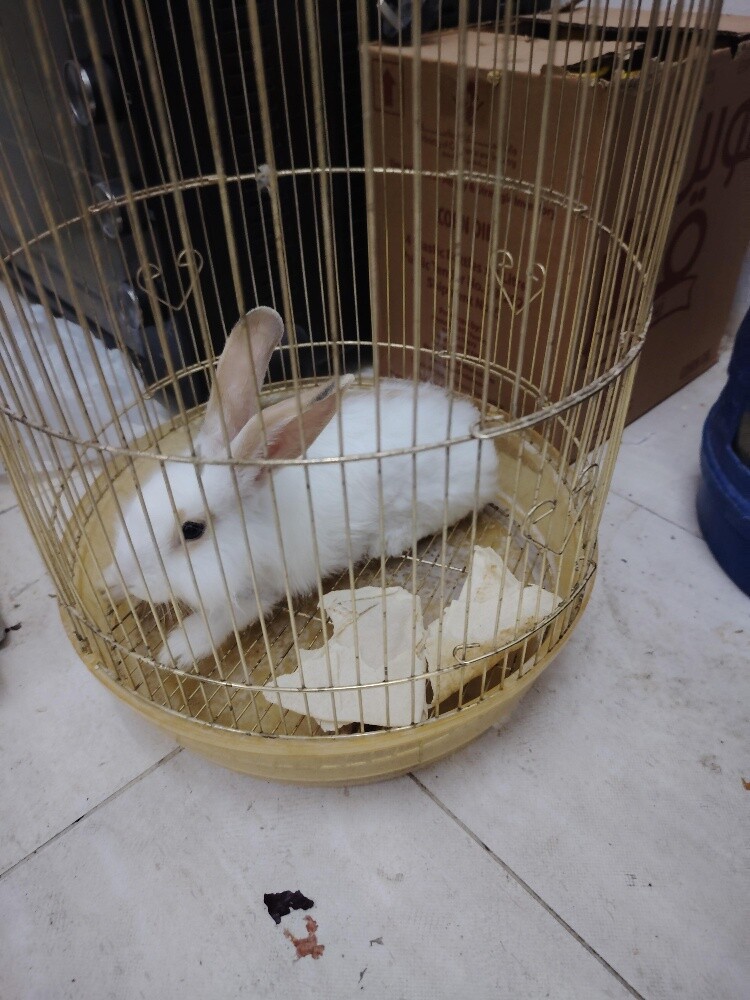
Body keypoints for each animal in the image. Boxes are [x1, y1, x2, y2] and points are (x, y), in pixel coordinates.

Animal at [102, 306, 499, 669]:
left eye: (192, 530)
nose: (130, 578)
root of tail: (473, 431)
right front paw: (110, 583)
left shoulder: (257, 590)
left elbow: (220, 618)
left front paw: (178, 649)